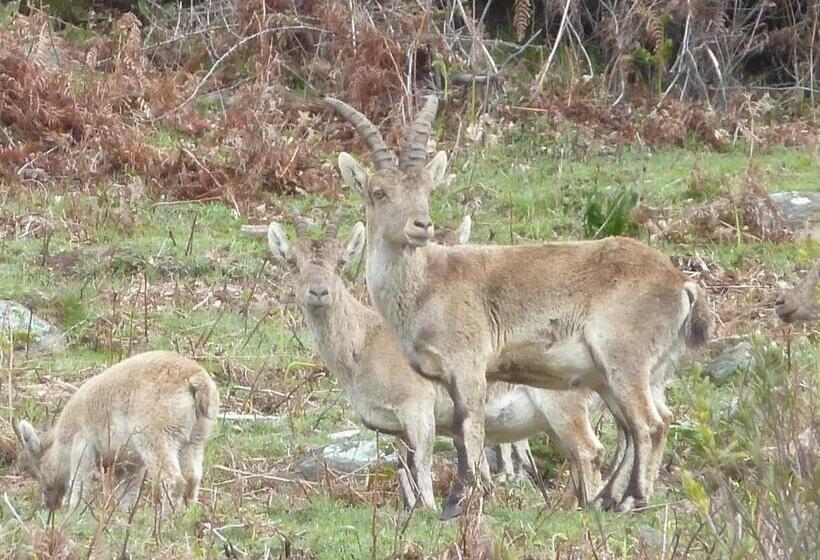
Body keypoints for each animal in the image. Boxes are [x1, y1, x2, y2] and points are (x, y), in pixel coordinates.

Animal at [16, 352, 221, 516]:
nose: (50, 505)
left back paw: (165, 519)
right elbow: (129, 491)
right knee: (192, 478)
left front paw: (74, 510)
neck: (62, 444)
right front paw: (124, 515)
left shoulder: (83, 444)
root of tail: (195, 380)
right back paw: (185, 516)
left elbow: (80, 480)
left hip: (157, 437)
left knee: (174, 480)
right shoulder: (132, 463)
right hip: (194, 440)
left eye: (38, 471)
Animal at [262, 217, 604, 510]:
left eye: (341, 263)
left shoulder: (417, 407)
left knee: (588, 451)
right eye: (292, 262)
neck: (364, 344)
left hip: (561, 403)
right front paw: (412, 507)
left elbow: (423, 462)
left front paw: (429, 507)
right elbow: (404, 466)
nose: (319, 292)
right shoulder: (395, 428)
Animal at [326, 96, 712, 516]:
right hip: (630, 374)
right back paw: (605, 499)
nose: (420, 226)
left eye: (427, 189)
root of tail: (681, 283)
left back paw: (631, 499)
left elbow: (468, 428)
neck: (426, 285)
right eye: (379, 192)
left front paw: (459, 501)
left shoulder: (468, 363)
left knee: (648, 425)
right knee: (645, 424)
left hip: (624, 360)